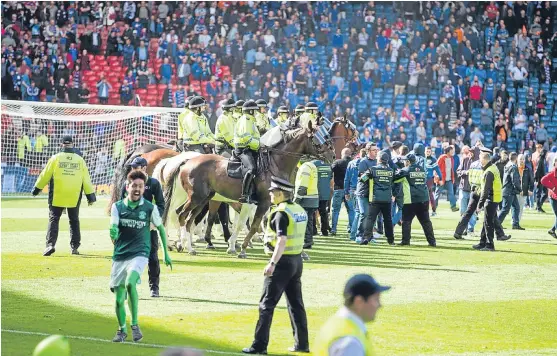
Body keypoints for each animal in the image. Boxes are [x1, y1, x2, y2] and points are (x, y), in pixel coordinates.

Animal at [161, 124, 334, 258]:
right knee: (182, 216)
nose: (332, 155)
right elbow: (254, 225)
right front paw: (243, 249)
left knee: (187, 219)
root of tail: (187, 160)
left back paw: (184, 245)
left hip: (203, 200)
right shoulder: (263, 203)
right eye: (316, 138)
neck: (275, 164)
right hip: (197, 198)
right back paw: (186, 246)